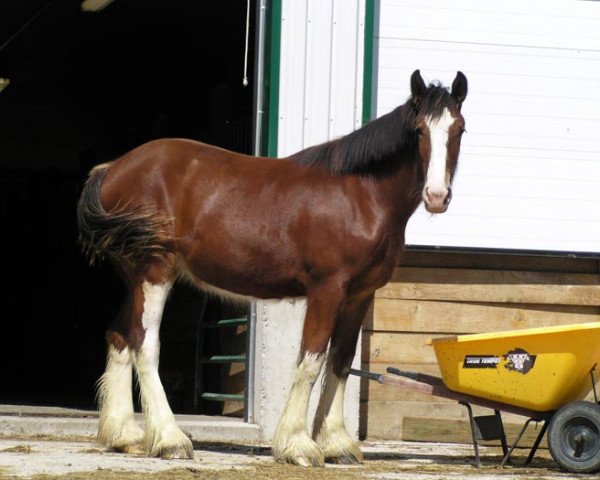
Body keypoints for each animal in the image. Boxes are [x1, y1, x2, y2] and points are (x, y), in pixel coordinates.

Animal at [76, 69, 468, 466]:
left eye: (459, 129)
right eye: (419, 130)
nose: (437, 196)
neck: (360, 195)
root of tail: (114, 169)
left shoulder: (360, 294)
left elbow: (340, 362)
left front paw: (337, 443)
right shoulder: (327, 289)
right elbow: (311, 360)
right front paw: (298, 445)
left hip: (135, 278)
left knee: (120, 337)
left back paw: (125, 435)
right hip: (155, 271)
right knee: (144, 343)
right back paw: (170, 439)